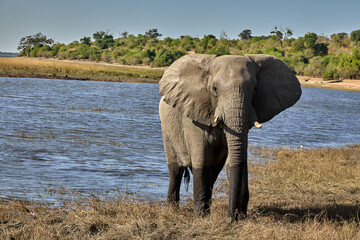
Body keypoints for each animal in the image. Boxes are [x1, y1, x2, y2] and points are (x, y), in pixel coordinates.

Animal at [158, 54, 300, 219]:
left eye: (255, 89)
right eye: (214, 89)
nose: (231, 218)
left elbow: (234, 159)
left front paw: (238, 217)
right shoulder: (194, 115)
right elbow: (201, 159)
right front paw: (200, 217)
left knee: (213, 170)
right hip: (167, 129)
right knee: (176, 169)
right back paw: (172, 209)